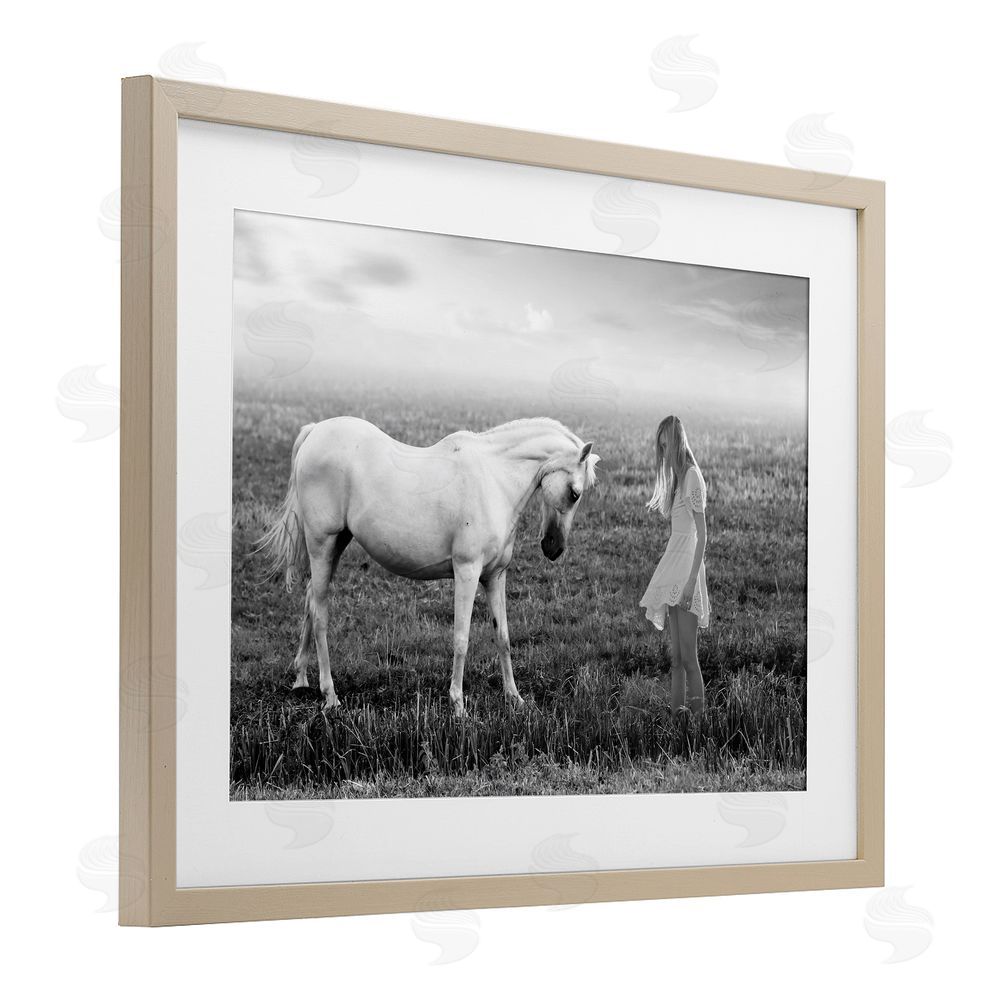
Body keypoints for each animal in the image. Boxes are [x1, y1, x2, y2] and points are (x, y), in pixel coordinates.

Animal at [258, 416, 600, 714]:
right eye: (574, 493)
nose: (554, 548)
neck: (494, 479)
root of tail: (315, 431)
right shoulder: (467, 572)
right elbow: (461, 639)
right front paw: (458, 705)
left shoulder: (495, 576)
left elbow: (502, 635)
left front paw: (514, 697)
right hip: (322, 544)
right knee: (320, 615)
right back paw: (330, 695)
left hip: (336, 545)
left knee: (310, 601)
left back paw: (301, 678)